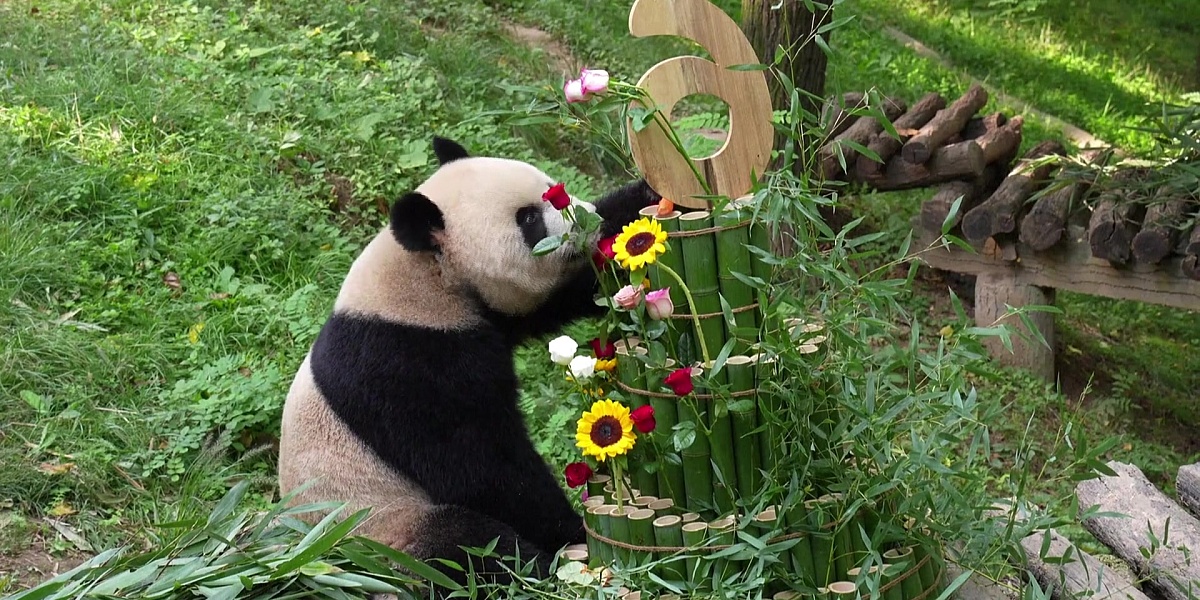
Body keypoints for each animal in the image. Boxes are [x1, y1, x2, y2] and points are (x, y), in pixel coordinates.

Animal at [278, 136, 659, 591]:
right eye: (528, 218)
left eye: (551, 188)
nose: (589, 223)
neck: (427, 276)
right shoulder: (408, 363)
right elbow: (480, 468)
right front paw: (570, 533)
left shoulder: (493, 315)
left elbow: (562, 294)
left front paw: (643, 199)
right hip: (381, 531)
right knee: (462, 544)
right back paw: (539, 570)